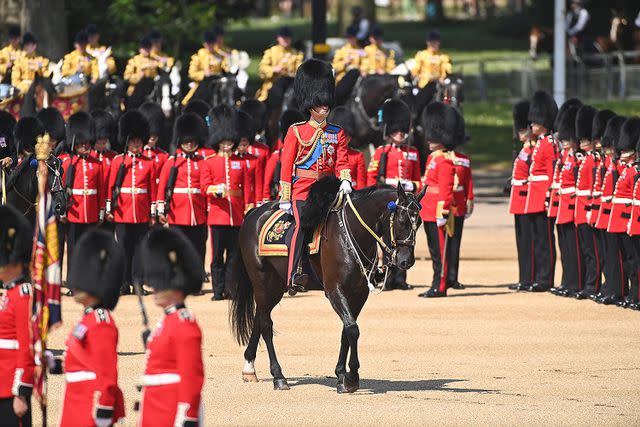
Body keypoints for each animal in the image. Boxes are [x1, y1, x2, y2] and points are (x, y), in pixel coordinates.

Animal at [230, 178, 424, 394]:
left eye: (419, 222)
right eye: (402, 220)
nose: (406, 261)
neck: (352, 233)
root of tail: (253, 213)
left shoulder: (359, 293)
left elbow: (346, 331)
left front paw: (341, 375)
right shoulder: (334, 291)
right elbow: (352, 329)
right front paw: (352, 377)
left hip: (275, 286)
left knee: (259, 318)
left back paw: (249, 368)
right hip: (263, 282)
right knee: (266, 324)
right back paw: (278, 376)